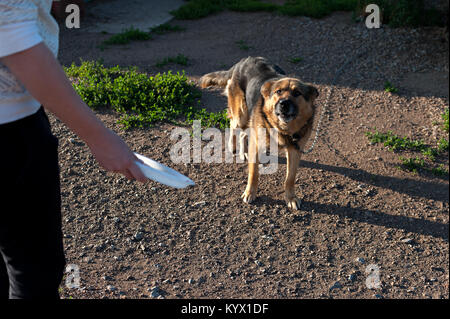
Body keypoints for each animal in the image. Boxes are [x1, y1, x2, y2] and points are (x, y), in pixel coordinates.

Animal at [199, 57, 318, 210]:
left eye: (297, 93)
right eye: (278, 91)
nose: (283, 104)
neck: (282, 129)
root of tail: (241, 62)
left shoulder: (295, 151)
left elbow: (290, 178)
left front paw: (290, 197)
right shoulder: (256, 145)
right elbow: (253, 173)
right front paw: (249, 193)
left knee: (244, 133)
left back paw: (244, 152)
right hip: (241, 115)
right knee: (233, 125)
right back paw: (233, 146)